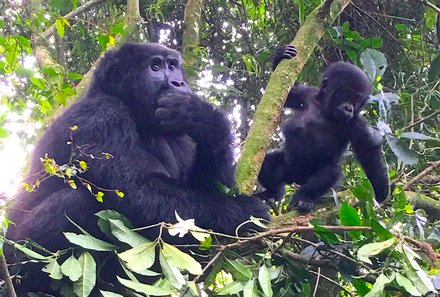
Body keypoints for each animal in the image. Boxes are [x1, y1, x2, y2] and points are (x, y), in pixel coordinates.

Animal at [7, 41, 268, 251]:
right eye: (156, 67)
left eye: (173, 65)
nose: (178, 82)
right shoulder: (100, 115)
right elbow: (136, 193)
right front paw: (241, 211)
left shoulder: (179, 136)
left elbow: (212, 184)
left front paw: (204, 119)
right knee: (77, 201)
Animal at [260, 45, 390, 212]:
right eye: (346, 94)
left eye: (357, 100)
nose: (349, 108)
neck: (325, 110)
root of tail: (296, 179)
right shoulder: (308, 94)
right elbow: (289, 95)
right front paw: (281, 54)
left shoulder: (355, 123)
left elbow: (367, 149)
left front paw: (381, 190)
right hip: (287, 167)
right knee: (266, 164)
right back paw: (273, 192)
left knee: (329, 173)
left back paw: (303, 198)